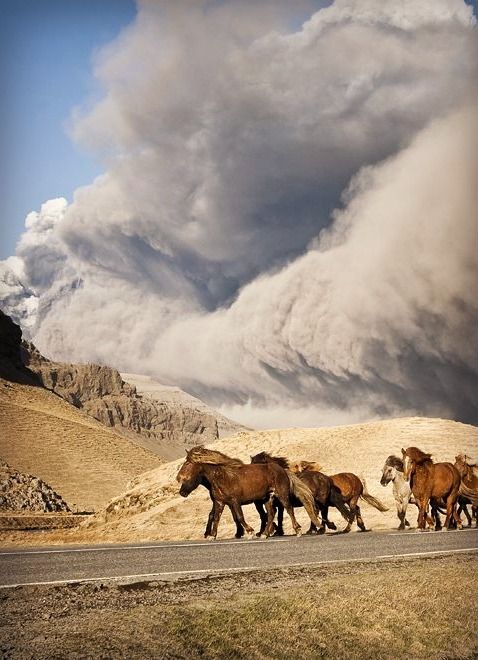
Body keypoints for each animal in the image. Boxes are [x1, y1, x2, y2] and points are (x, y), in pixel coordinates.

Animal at [176, 446, 322, 540]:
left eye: (188, 463)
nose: (178, 478)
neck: (222, 477)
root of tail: (283, 470)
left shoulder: (234, 501)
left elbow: (240, 517)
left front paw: (249, 532)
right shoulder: (220, 502)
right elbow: (216, 517)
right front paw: (212, 536)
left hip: (281, 495)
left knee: (288, 509)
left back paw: (297, 530)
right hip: (267, 498)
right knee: (271, 514)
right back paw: (264, 534)